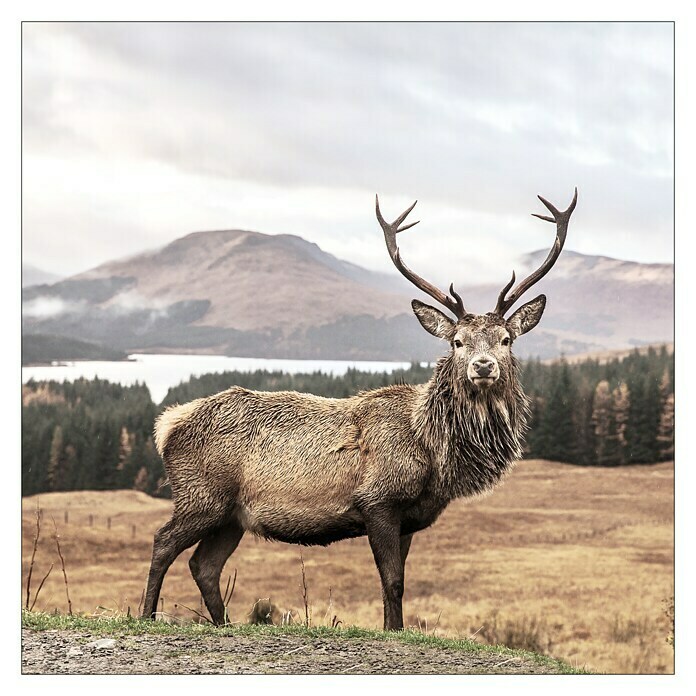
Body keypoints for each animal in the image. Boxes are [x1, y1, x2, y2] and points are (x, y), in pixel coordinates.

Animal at [140, 189, 576, 632]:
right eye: (457, 341)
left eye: (506, 339)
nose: (483, 366)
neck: (433, 452)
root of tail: (167, 425)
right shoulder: (377, 500)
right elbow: (393, 580)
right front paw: (395, 630)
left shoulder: (408, 517)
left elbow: (396, 582)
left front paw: (392, 628)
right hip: (201, 495)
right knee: (162, 543)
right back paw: (146, 615)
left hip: (231, 516)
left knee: (204, 565)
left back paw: (223, 624)